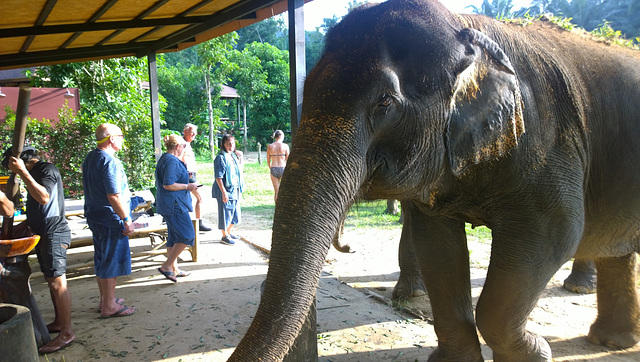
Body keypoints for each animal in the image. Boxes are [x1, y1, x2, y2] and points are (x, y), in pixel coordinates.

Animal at [230, 0, 640, 360]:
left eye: (385, 103)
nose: (347, 247)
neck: (468, 29)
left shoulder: (547, 144)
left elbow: (556, 233)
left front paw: (538, 352)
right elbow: (438, 250)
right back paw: (611, 340)